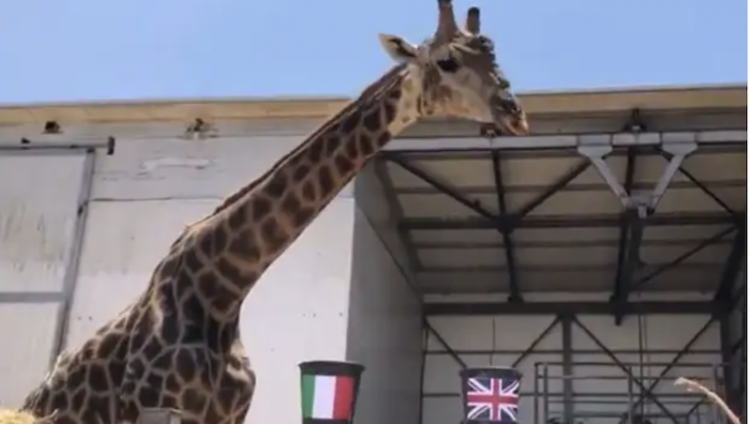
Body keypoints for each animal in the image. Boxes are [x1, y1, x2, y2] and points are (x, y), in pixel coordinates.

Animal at [20, 2, 529, 424]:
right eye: (448, 61)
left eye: (493, 56)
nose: (515, 112)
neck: (224, 291)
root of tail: (33, 397)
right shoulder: (160, 407)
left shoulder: (229, 416)